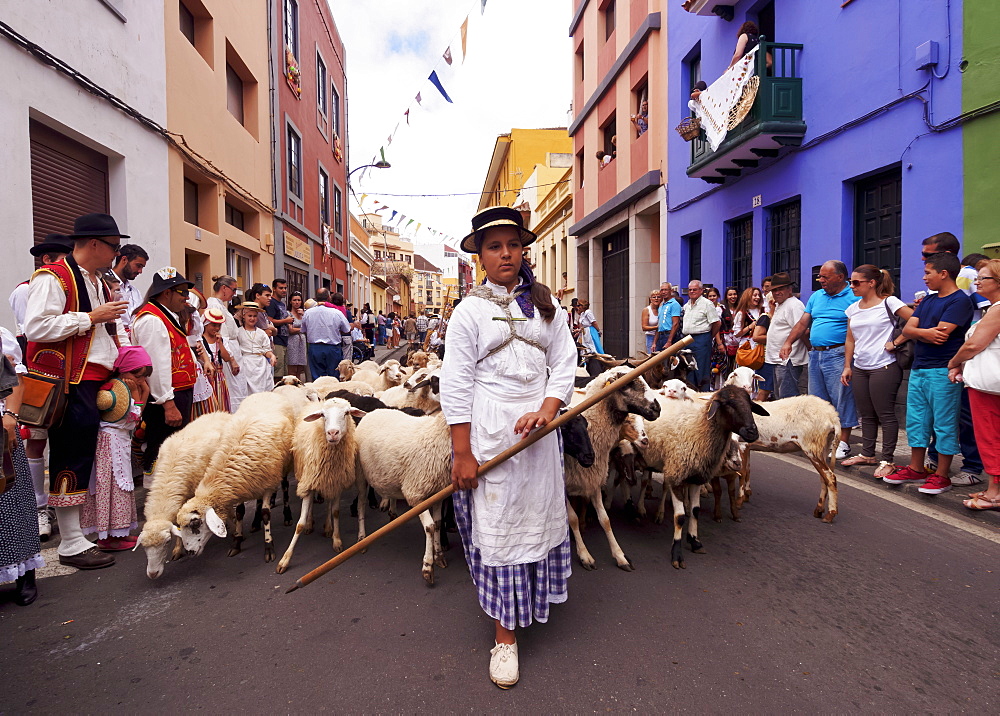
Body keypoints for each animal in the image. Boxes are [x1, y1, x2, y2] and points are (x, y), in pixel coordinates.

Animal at [276, 394, 366, 572]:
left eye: (346, 413)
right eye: (323, 415)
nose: (332, 433)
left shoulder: (336, 482)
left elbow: (335, 512)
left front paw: (336, 540)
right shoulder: (309, 482)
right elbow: (300, 524)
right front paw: (285, 559)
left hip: (328, 481)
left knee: (329, 502)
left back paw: (328, 527)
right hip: (304, 476)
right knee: (310, 504)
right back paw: (311, 523)